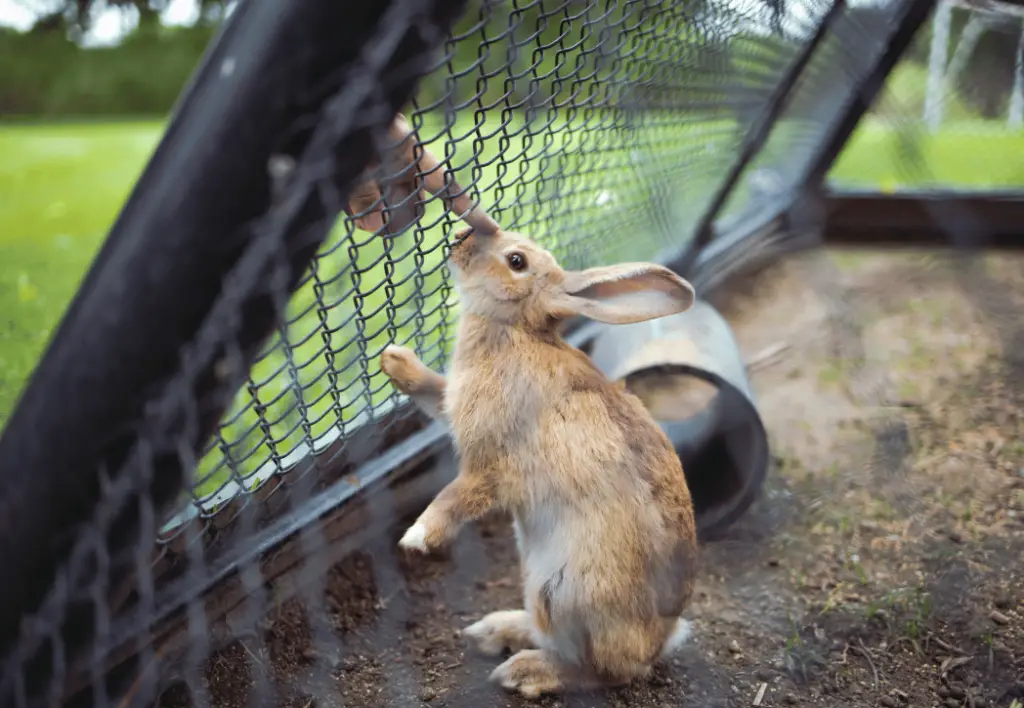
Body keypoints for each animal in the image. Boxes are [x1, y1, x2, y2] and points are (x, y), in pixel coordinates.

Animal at [380, 229, 700, 700]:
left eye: (516, 261)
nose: (458, 238)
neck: (517, 330)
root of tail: (660, 642)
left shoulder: (489, 466)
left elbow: (454, 497)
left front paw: (417, 538)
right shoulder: (454, 409)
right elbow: (433, 392)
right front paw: (394, 360)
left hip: (562, 593)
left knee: (603, 671)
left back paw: (524, 671)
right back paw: (495, 632)